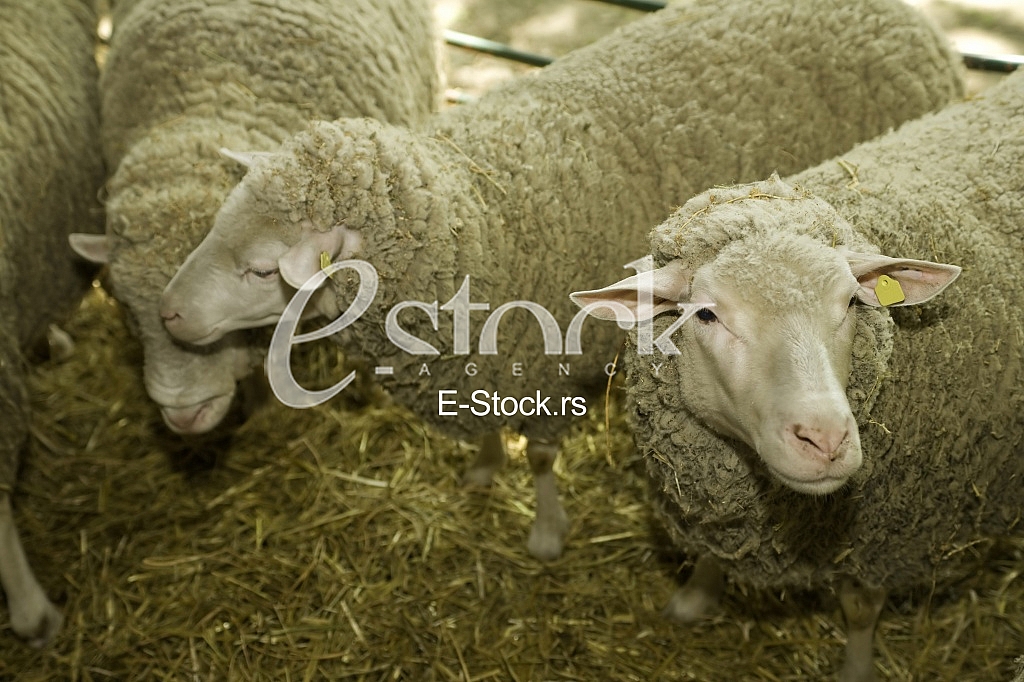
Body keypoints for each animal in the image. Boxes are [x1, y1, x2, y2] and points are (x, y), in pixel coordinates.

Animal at [158, 0, 965, 561]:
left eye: (262, 269)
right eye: (217, 227)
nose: (167, 315)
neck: (476, 215)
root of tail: (904, 16)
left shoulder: (549, 366)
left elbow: (543, 458)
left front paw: (546, 532)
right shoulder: (487, 359)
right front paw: (485, 469)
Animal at [570, 69, 1024, 680]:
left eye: (852, 303)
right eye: (706, 314)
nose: (825, 439)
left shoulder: (883, 537)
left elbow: (860, 608)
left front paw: (856, 669)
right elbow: (714, 551)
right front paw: (691, 600)